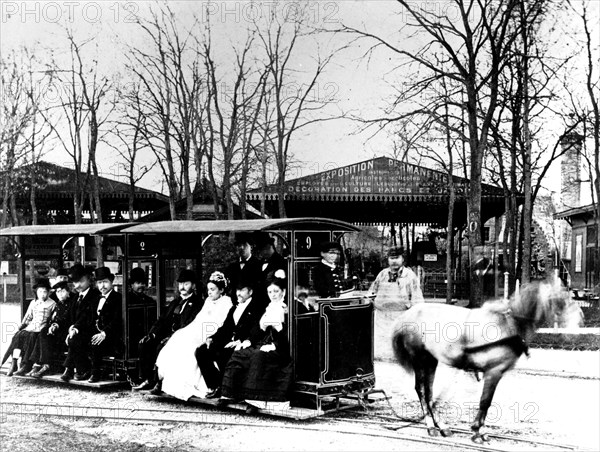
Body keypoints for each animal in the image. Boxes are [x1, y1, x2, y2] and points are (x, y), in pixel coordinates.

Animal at [392, 278, 576, 444]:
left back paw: (442, 426)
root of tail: (407, 315)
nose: (576, 322)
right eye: (561, 298)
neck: (508, 325)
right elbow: (485, 402)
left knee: (429, 392)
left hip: (431, 360)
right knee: (421, 390)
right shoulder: (493, 372)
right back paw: (431, 426)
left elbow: (486, 402)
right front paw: (477, 432)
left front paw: (479, 430)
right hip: (419, 358)